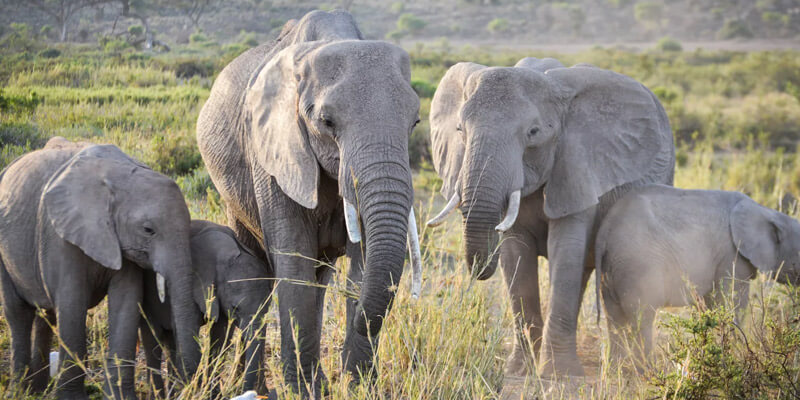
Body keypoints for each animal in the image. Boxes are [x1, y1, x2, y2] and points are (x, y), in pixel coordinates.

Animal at [0, 137, 202, 396]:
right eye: (148, 230)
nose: (187, 382)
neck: (119, 175)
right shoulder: (60, 235)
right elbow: (72, 301)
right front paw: (71, 399)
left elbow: (127, 301)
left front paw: (120, 397)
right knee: (19, 313)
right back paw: (20, 391)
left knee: (45, 315)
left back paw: (37, 390)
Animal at [139, 219, 274, 396]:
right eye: (235, 308)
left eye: (267, 309)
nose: (249, 392)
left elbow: (220, 337)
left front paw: (214, 394)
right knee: (152, 340)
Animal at [196, 9, 422, 396]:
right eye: (326, 121)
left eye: (415, 122)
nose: (363, 319)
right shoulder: (272, 151)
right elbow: (294, 261)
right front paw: (302, 391)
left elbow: (362, 265)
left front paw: (359, 388)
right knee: (259, 275)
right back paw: (255, 385)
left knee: (319, 279)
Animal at [424, 57, 676, 376]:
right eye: (460, 130)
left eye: (533, 133)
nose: (479, 269)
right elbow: (515, 257)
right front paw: (520, 371)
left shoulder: (577, 166)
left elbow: (564, 251)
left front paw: (559, 374)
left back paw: (623, 369)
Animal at [592, 185, 800, 360]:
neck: (768, 212)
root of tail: (606, 229)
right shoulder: (731, 256)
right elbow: (732, 303)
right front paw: (737, 355)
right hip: (638, 265)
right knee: (642, 319)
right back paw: (648, 374)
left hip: (612, 269)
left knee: (615, 320)